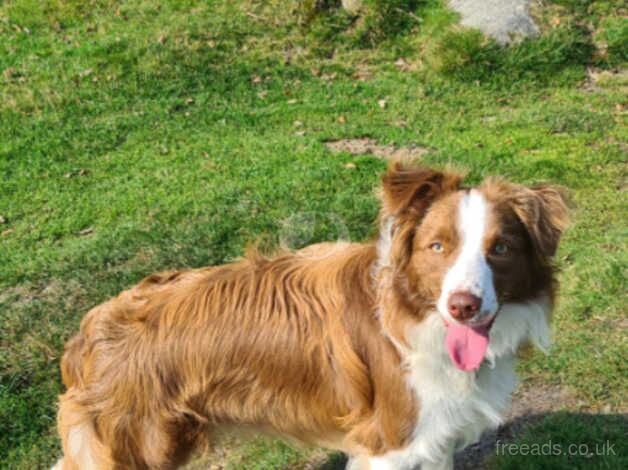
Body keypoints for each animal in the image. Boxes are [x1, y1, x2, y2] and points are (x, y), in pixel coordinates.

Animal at [54, 162, 568, 470]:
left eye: (500, 249)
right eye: (437, 247)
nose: (464, 305)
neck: (413, 315)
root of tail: (85, 336)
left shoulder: (434, 436)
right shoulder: (393, 444)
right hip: (141, 447)